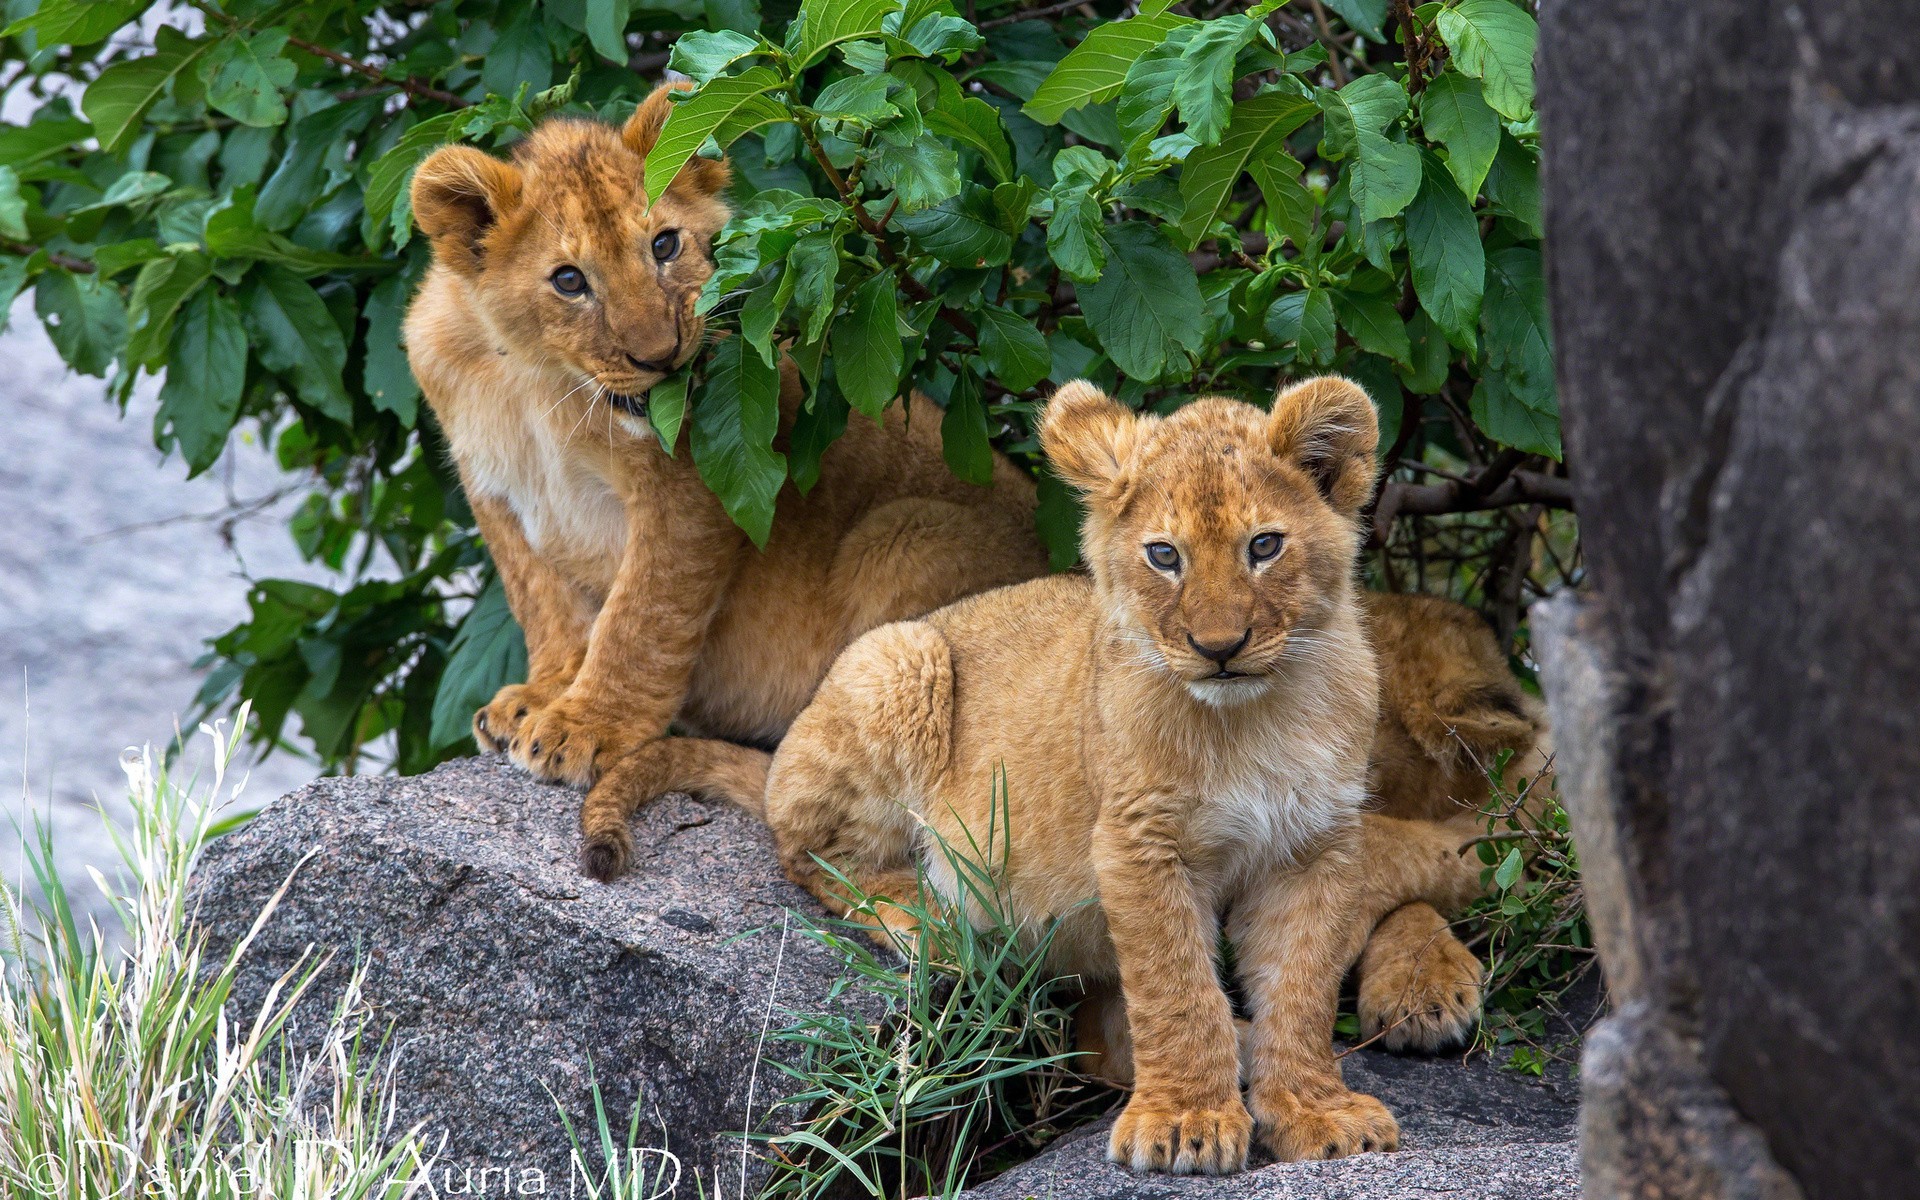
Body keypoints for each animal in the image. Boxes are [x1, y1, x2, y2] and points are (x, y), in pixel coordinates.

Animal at [403, 84, 1048, 880]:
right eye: (568, 280)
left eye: (664, 245)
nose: (659, 357)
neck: (541, 382)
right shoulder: (493, 488)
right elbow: (542, 601)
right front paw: (541, 696)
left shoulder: (689, 486)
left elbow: (640, 619)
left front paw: (585, 728)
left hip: (902, 539)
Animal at [758, 377, 1402, 1173]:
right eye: (1164, 555)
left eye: (1264, 546)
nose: (1219, 648)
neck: (1258, 716)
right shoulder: (1140, 840)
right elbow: (1178, 987)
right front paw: (1185, 1123)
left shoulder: (1315, 846)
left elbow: (1303, 988)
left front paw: (1316, 1112)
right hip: (901, 657)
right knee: (815, 855)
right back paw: (940, 921)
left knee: (1099, 1045)